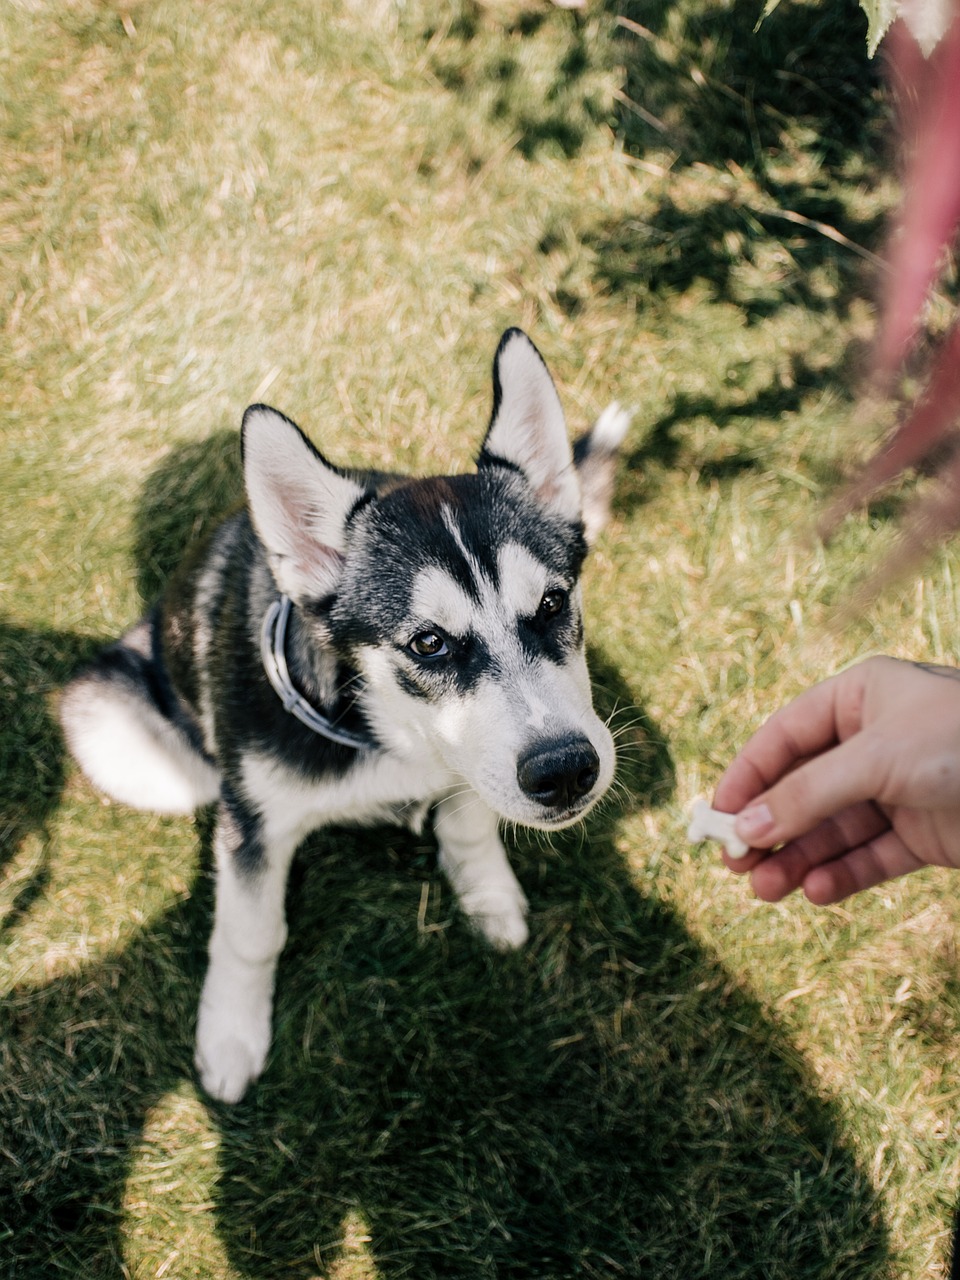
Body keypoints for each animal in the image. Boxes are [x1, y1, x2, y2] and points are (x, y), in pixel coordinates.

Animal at [60, 330, 632, 1100]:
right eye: (428, 642)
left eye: (551, 603)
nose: (567, 770)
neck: (392, 737)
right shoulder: (256, 827)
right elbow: (250, 932)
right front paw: (232, 1033)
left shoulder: (472, 765)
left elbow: (470, 825)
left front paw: (487, 894)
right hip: (117, 729)